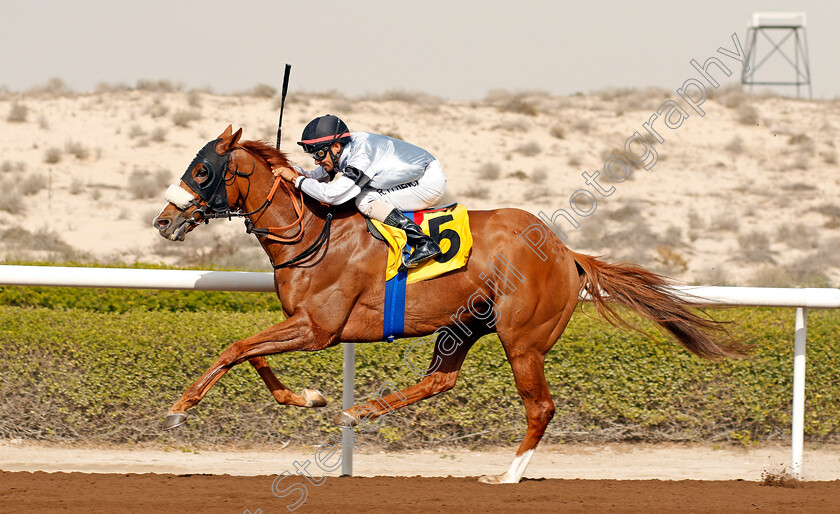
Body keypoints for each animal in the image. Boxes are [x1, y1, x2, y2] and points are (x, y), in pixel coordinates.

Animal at [153, 126, 740, 482]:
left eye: (203, 170)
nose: (164, 220)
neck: (312, 231)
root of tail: (564, 251)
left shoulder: (319, 328)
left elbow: (236, 348)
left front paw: (180, 408)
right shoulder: (301, 323)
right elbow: (251, 354)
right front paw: (310, 397)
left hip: (522, 339)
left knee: (540, 407)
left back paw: (508, 475)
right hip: (464, 324)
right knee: (441, 379)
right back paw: (358, 409)